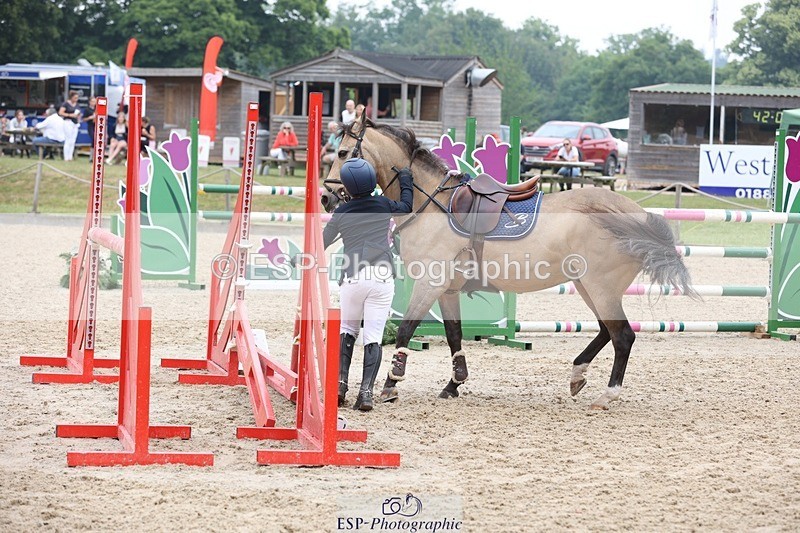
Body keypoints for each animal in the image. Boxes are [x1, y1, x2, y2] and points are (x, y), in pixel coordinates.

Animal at [321, 118, 696, 410]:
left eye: (342, 153)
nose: (326, 197)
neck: (430, 203)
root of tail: (634, 213)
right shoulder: (448, 289)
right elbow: (454, 335)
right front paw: (454, 384)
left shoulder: (430, 283)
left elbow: (405, 329)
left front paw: (391, 382)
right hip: (588, 286)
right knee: (607, 330)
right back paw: (578, 374)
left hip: (601, 288)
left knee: (622, 337)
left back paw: (607, 394)